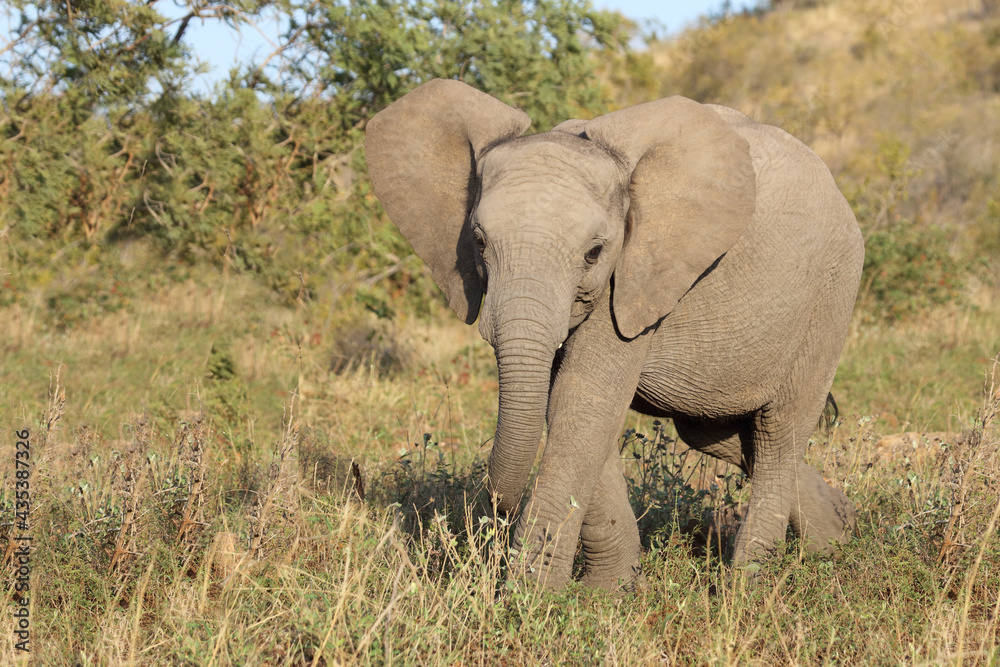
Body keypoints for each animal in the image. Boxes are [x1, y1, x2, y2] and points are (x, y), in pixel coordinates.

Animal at [364, 77, 864, 588]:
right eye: (479, 242)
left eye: (594, 252)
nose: (494, 513)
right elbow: (566, 405)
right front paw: (612, 590)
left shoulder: (633, 274)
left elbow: (584, 401)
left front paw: (531, 595)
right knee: (717, 433)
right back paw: (839, 533)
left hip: (831, 294)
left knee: (778, 433)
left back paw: (747, 583)